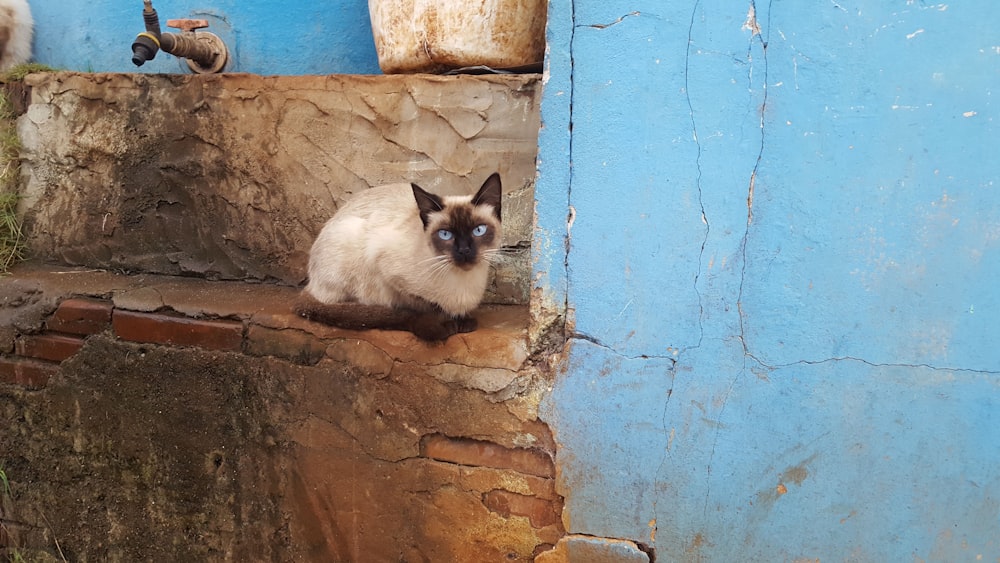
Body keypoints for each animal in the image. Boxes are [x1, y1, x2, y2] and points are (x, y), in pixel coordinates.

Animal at [294, 173, 500, 340]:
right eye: (445, 234)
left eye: (478, 230)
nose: (464, 251)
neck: (464, 283)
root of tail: (309, 284)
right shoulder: (389, 273)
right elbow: (429, 306)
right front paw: (449, 324)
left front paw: (464, 320)